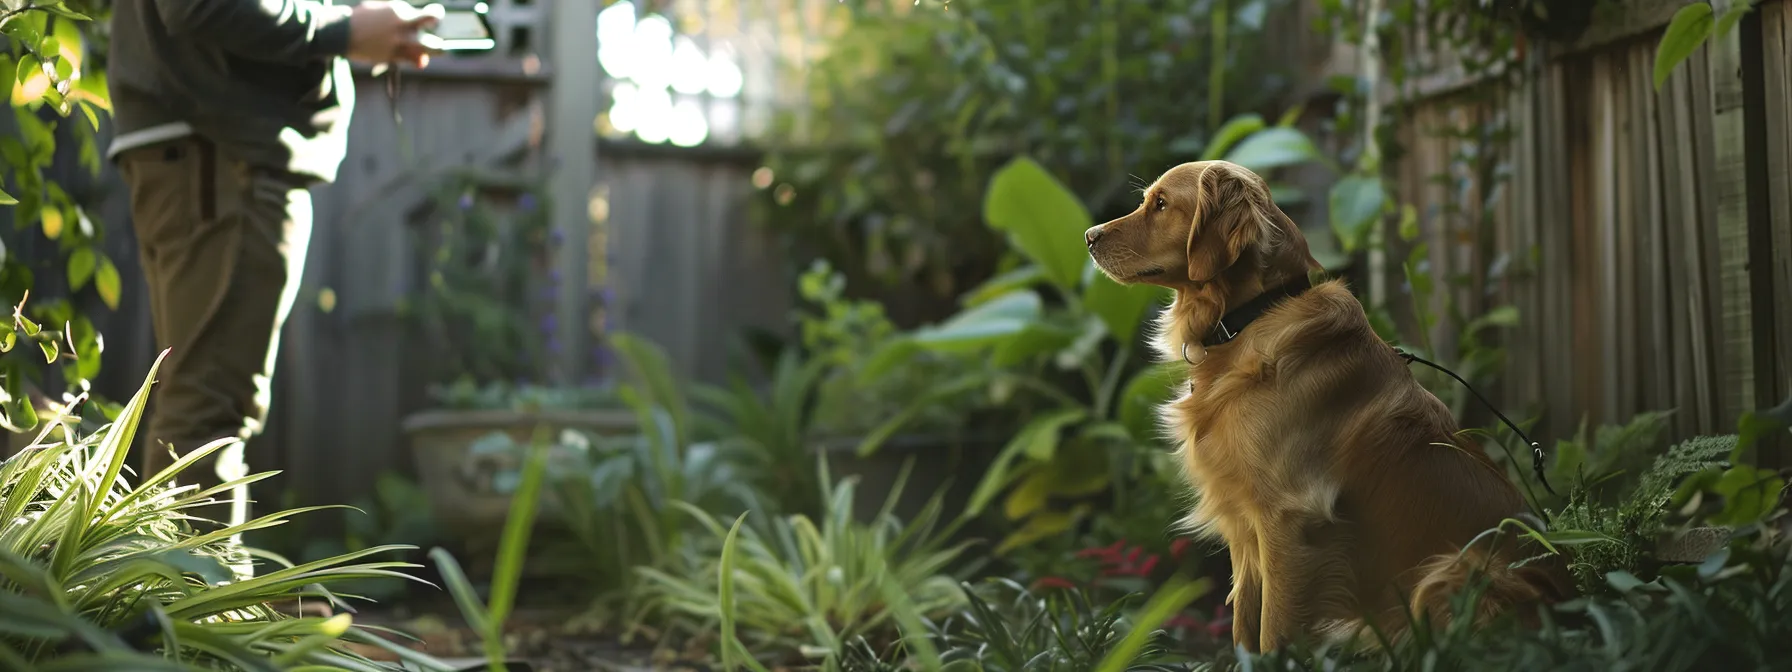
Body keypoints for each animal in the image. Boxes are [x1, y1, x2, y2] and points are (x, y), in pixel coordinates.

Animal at [1075, 159, 1569, 652]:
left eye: (1161, 204)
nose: (1088, 236)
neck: (1251, 319)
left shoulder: (1289, 520)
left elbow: (1272, 633)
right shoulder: (1244, 525)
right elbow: (1243, 629)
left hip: (1455, 571)